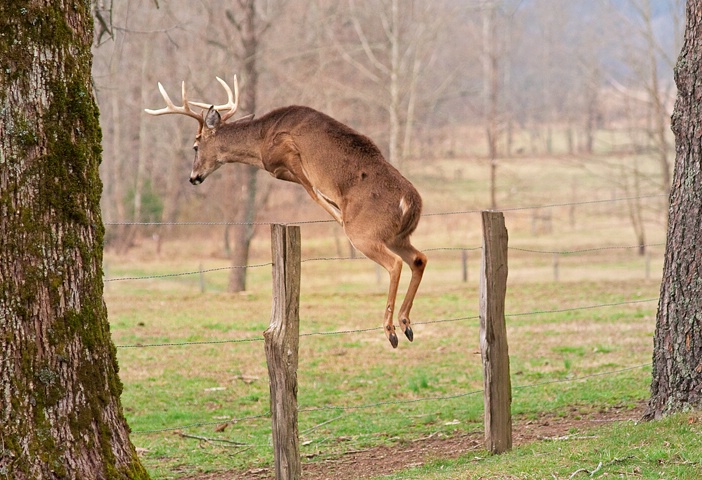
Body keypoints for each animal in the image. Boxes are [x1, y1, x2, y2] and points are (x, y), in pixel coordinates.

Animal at [146, 75, 426, 348]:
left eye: (195, 146)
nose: (193, 177)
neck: (260, 141)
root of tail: (411, 202)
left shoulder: (289, 153)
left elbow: (314, 192)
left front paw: (338, 214)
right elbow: (316, 193)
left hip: (367, 234)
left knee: (395, 263)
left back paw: (390, 330)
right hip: (398, 236)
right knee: (419, 258)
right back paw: (406, 324)